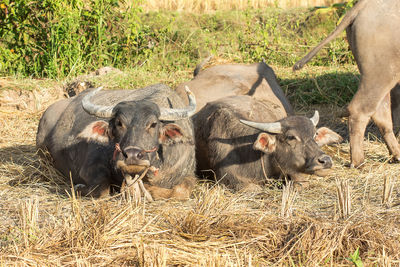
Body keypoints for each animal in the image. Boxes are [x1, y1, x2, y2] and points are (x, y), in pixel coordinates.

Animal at [36, 85, 196, 200]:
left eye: (153, 124)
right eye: (119, 123)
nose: (132, 155)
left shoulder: (189, 174)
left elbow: (181, 191)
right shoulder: (89, 167)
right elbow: (102, 189)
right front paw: (78, 187)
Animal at [292, 0, 400, 168]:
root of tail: (362, 5)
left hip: (378, 74)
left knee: (380, 112)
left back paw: (396, 156)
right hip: (382, 72)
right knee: (360, 109)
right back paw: (358, 162)